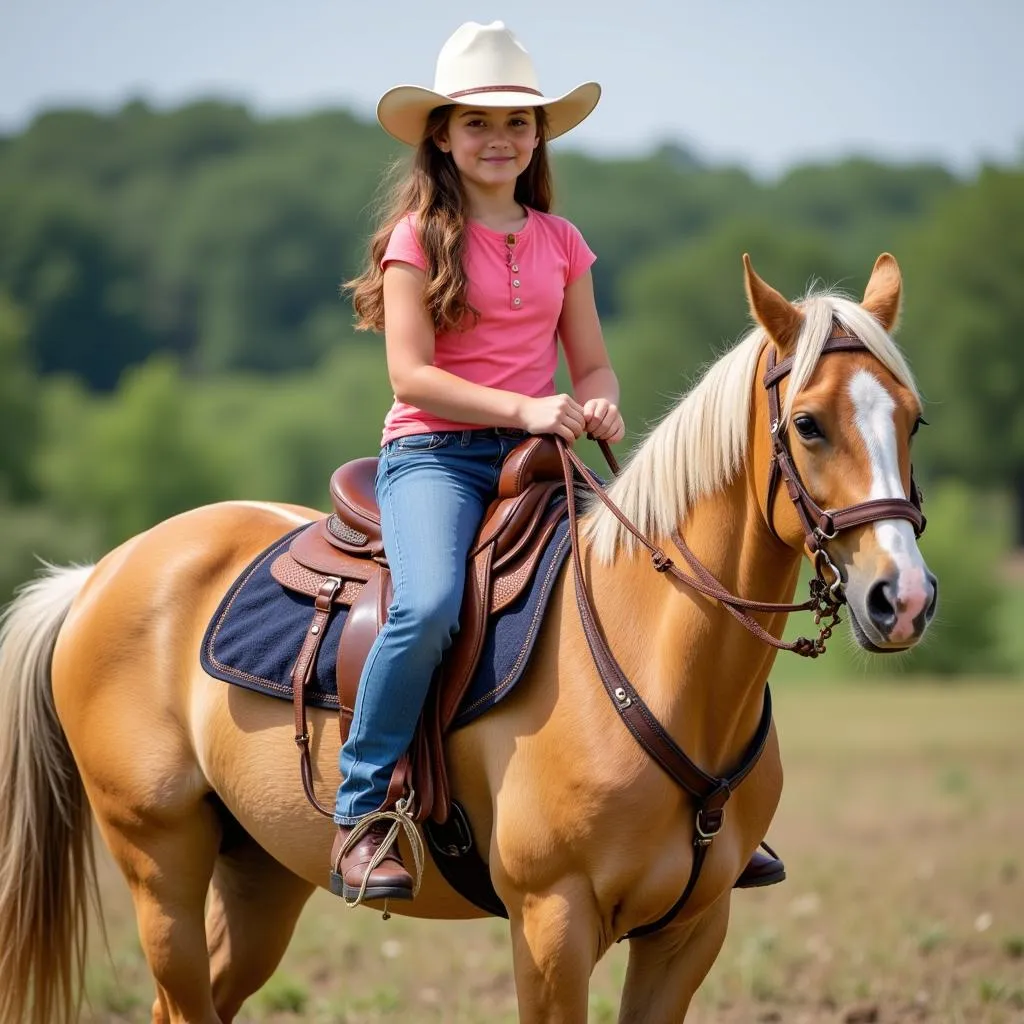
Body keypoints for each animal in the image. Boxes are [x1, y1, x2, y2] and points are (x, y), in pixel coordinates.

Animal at [0, 249, 937, 1024]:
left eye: (914, 420)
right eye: (809, 424)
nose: (903, 598)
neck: (655, 663)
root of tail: (100, 575)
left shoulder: (691, 931)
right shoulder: (552, 925)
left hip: (259, 873)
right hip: (159, 862)